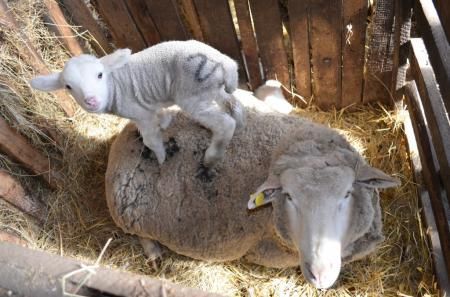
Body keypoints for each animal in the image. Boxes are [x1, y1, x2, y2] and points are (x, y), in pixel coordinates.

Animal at [29, 39, 244, 166]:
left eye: (99, 75)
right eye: (68, 86)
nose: (91, 101)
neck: (114, 84)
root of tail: (223, 61)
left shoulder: (141, 114)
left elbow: (150, 139)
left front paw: (161, 159)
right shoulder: (149, 107)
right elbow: (160, 115)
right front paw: (165, 122)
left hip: (192, 94)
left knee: (225, 124)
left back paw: (211, 158)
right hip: (213, 89)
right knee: (233, 104)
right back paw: (241, 124)